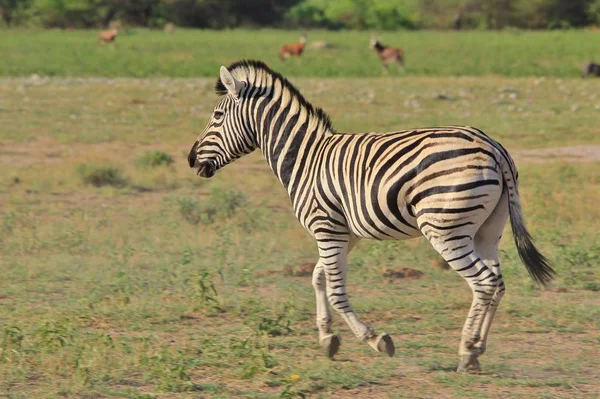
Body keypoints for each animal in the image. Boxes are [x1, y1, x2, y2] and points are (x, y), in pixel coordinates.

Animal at [186, 61, 552, 374]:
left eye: (217, 115)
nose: (190, 159)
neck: (305, 158)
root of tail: (492, 146)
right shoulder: (344, 234)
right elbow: (318, 277)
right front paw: (327, 338)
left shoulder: (326, 228)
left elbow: (335, 290)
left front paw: (375, 340)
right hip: (487, 229)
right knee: (497, 283)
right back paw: (478, 349)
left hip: (445, 229)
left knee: (483, 282)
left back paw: (466, 351)